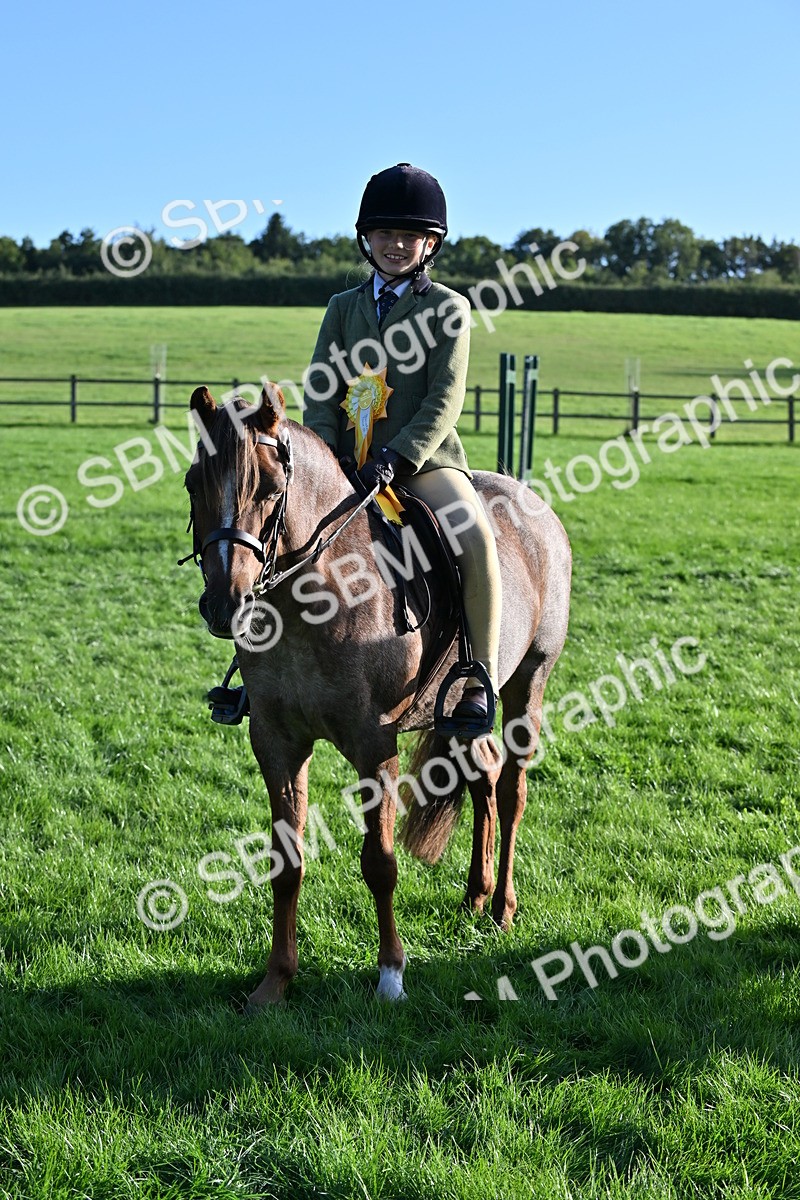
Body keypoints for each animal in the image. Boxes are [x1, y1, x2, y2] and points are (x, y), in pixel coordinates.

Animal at [182, 382, 571, 1007]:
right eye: (195, 482)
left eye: (268, 488)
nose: (225, 603)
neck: (314, 599)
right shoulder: (276, 742)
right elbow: (285, 861)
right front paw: (275, 981)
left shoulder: (374, 745)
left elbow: (379, 862)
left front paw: (391, 974)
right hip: (459, 711)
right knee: (484, 777)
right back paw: (476, 894)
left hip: (527, 686)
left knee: (512, 792)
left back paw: (503, 908)